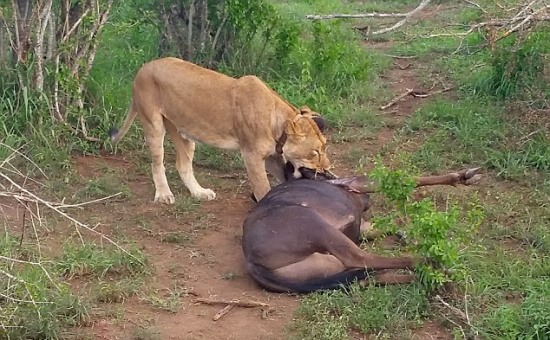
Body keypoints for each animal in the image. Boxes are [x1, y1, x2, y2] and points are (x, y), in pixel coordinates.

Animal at [109, 57, 332, 203]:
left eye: (325, 147)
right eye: (315, 152)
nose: (328, 168)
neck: (278, 123)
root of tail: (143, 67)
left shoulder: (272, 156)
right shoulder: (251, 155)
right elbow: (263, 188)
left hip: (185, 132)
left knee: (183, 164)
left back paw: (199, 193)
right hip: (153, 123)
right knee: (157, 163)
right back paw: (164, 195)